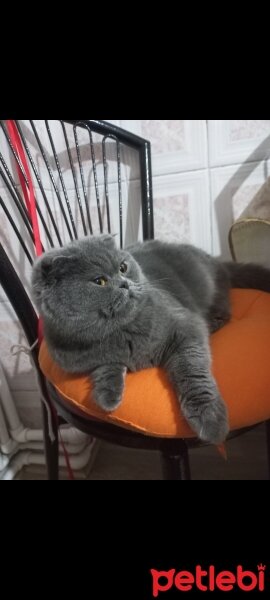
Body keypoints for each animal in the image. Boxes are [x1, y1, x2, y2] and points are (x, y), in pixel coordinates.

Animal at [30, 237, 270, 442]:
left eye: (123, 268)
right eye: (100, 281)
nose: (125, 283)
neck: (117, 332)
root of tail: (215, 260)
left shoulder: (185, 327)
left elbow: (192, 371)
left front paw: (209, 420)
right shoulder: (83, 358)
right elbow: (105, 366)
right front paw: (107, 396)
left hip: (211, 288)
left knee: (224, 311)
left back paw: (212, 323)